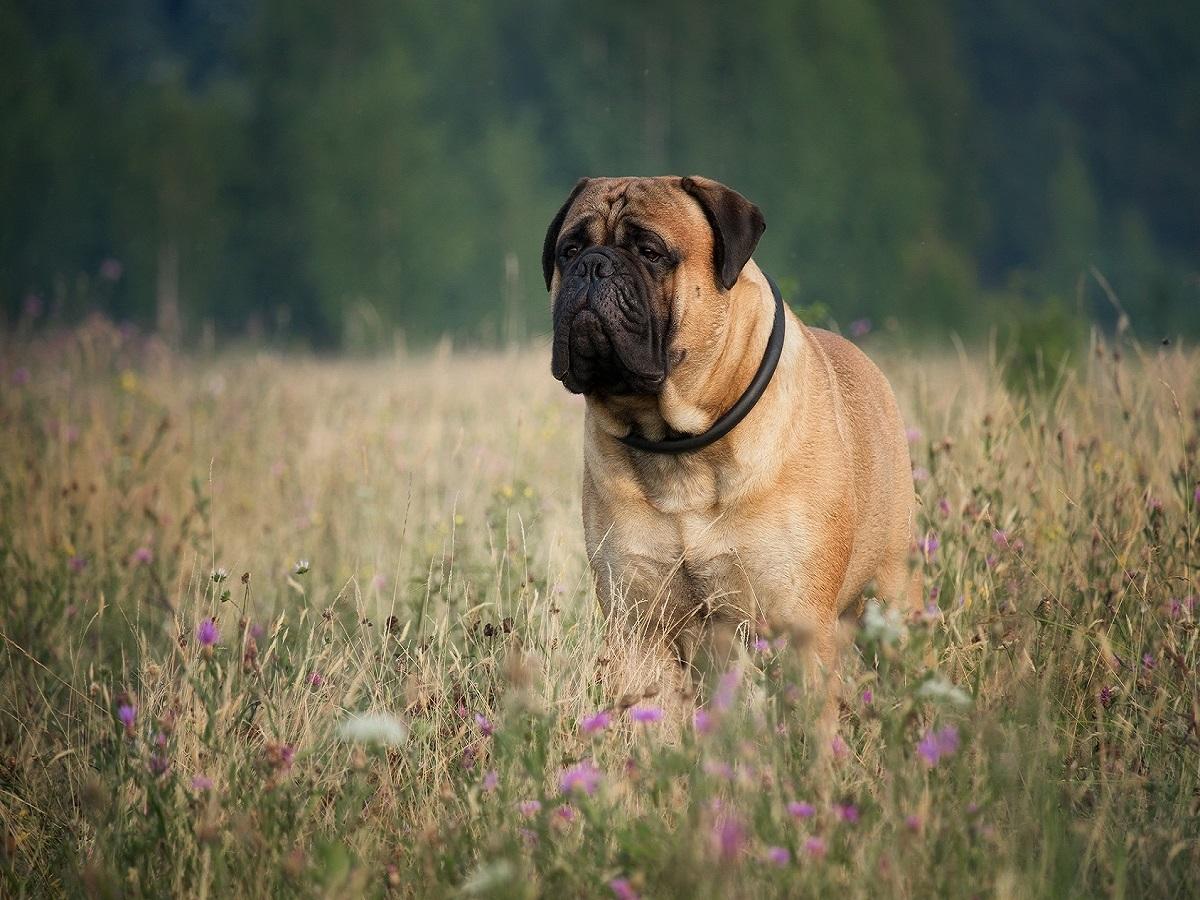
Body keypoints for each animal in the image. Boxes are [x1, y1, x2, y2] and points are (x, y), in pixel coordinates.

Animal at [544, 176, 916, 710]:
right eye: (569, 250)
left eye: (650, 252)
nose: (593, 264)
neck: (680, 444)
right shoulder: (639, 625)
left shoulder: (800, 623)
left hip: (893, 597)